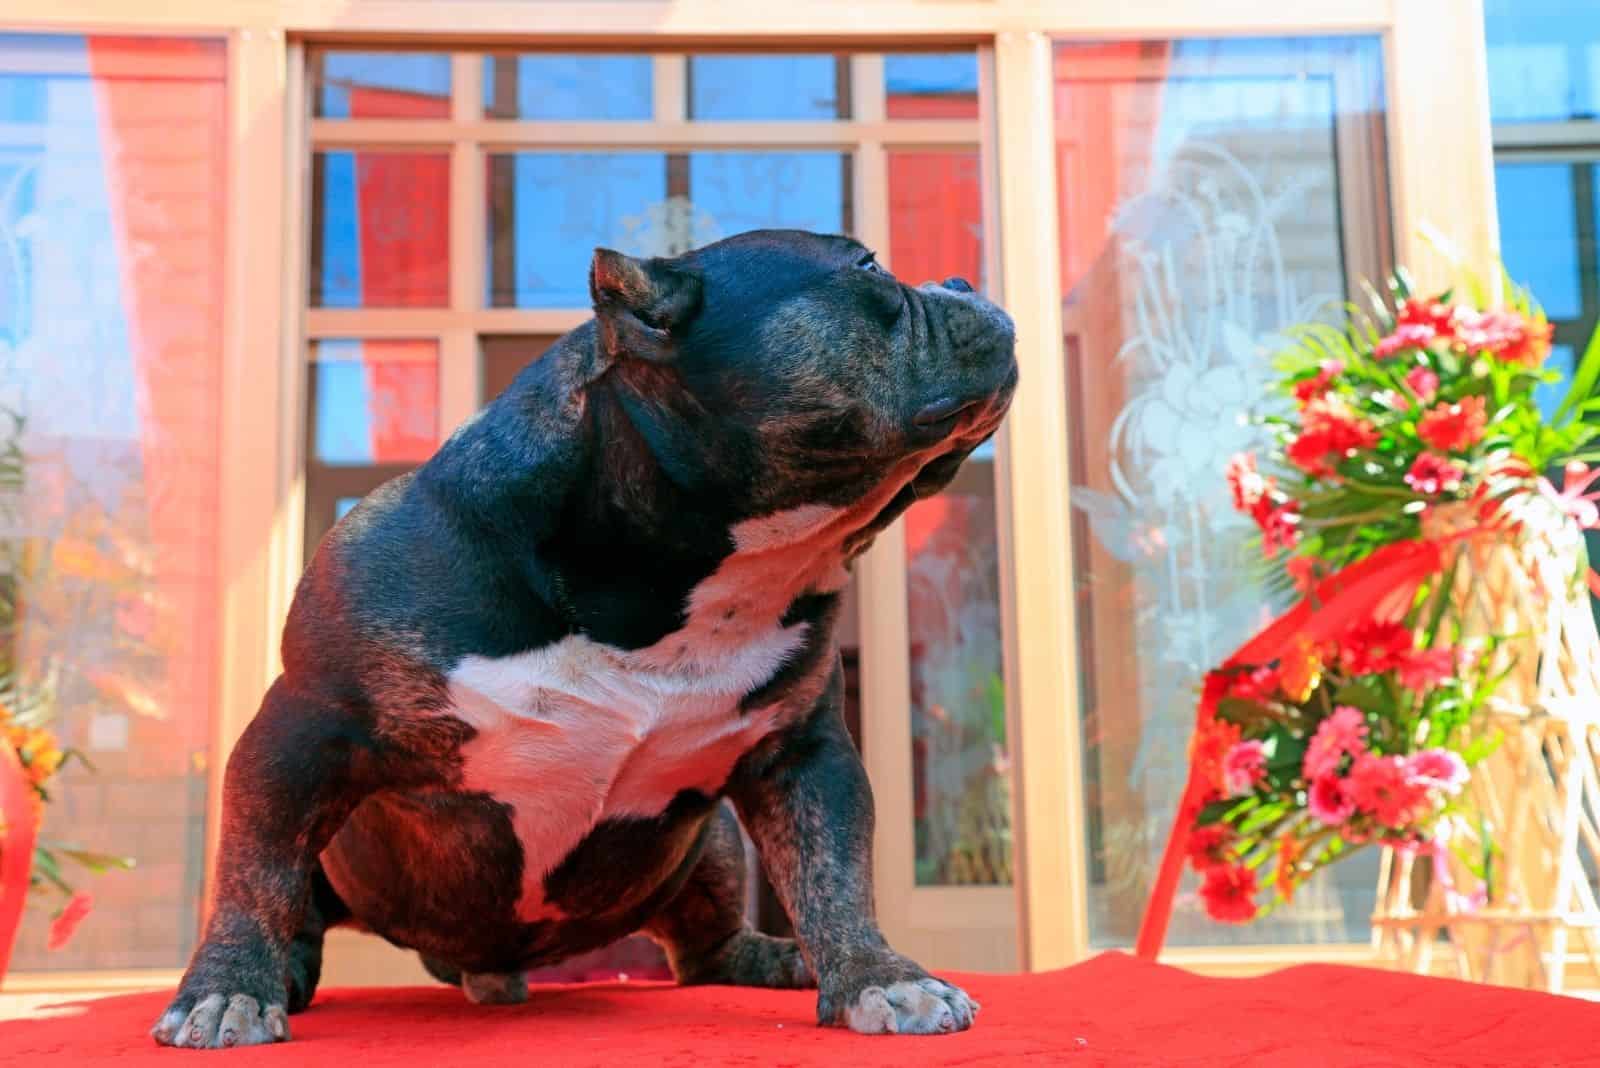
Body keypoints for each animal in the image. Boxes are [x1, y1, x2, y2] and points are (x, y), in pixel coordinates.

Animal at [156, 230, 1017, 1048]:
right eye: (868, 268)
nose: (964, 281)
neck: (658, 586)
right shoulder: (301, 732)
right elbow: (256, 873)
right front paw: (228, 989)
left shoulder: (804, 752)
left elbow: (834, 870)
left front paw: (880, 976)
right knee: (296, 901)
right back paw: (285, 975)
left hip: (711, 844)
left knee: (703, 950)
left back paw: (779, 959)